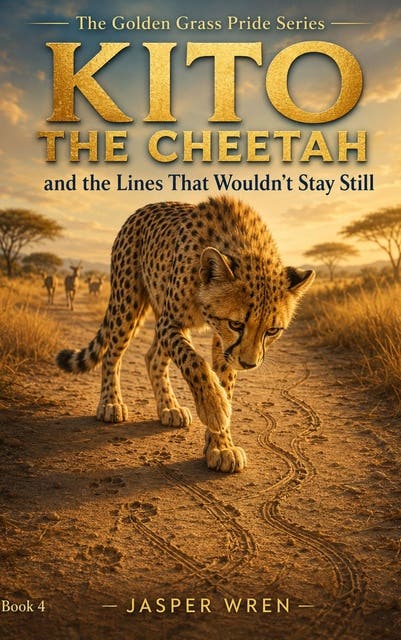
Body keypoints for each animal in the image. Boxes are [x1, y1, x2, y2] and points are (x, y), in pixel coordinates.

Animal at [56, 196, 315, 473]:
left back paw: (170, 408)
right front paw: (214, 407)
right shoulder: (171, 323)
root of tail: (144, 208)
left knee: (153, 358)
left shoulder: (220, 342)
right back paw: (110, 403)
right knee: (112, 354)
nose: (249, 363)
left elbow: (224, 380)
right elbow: (194, 362)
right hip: (127, 302)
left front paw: (220, 445)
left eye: (272, 331)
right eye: (236, 324)